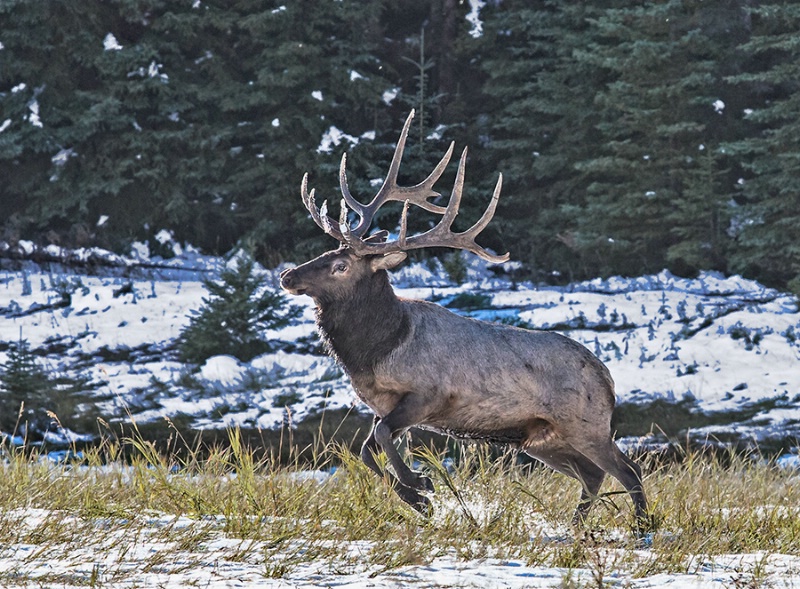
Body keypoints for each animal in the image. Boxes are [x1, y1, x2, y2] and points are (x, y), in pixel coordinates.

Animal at [278, 110, 648, 528]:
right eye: (326, 252)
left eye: (340, 265)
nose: (287, 275)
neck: (379, 348)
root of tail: (608, 378)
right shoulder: (385, 406)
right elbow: (366, 449)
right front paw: (417, 498)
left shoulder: (428, 395)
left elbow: (382, 438)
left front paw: (420, 485)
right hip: (544, 439)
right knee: (593, 474)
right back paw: (576, 527)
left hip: (587, 424)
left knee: (628, 470)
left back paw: (641, 528)